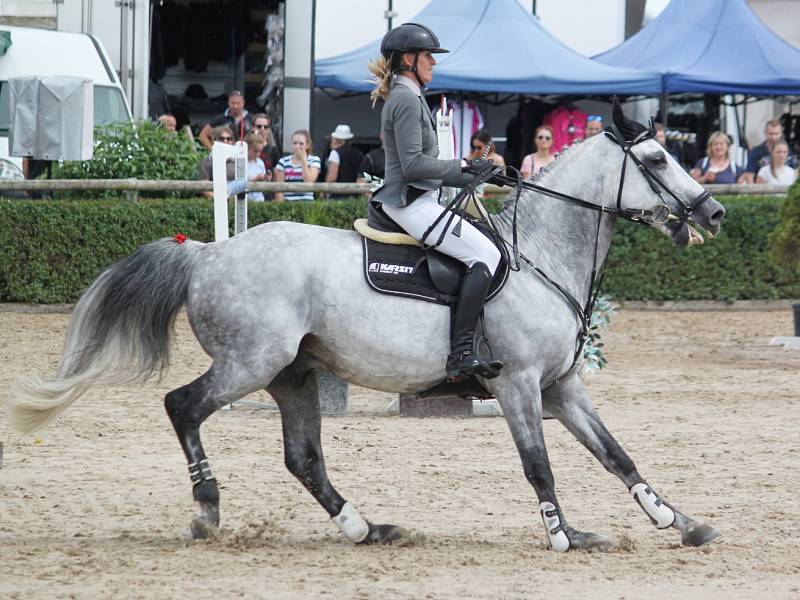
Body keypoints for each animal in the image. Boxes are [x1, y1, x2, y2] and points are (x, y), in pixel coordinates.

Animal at [9, 102, 728, 548]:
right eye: (657, 161)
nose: (715, 212)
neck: (538, 257)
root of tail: (207, 254)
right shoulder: (519, 384)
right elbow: (539, 465)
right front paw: (563, 535)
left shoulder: (562, 387)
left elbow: (617, 454)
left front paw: (681, 521)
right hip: (250, 363)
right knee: (182, 406)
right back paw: (208, 509)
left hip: (293, 374)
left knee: (303, 457)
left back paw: (363, 527)